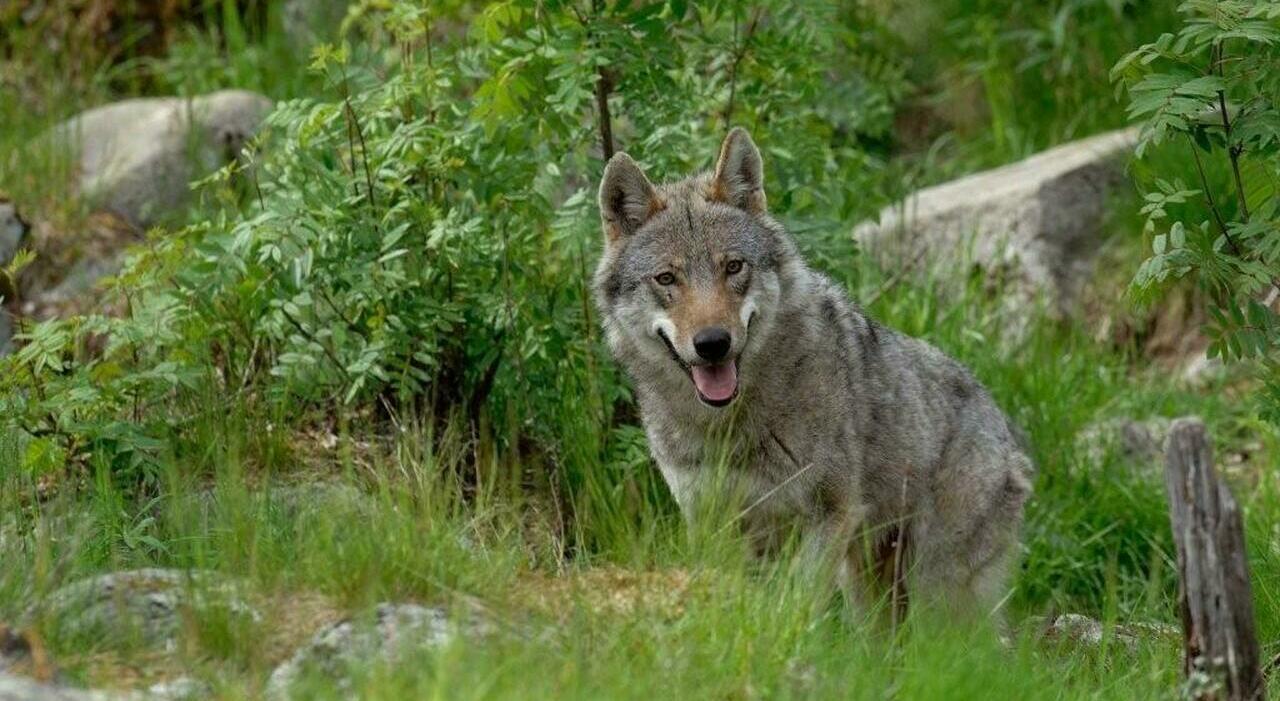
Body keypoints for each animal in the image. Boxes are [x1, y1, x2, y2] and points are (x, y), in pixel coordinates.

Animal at [592, 128, 1033, 620]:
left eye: (733, 267)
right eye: (667, 278)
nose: (713, 343)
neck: (729, 427)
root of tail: (1003, 424)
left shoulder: (830, 514)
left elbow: (794, 606)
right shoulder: (711, 525)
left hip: (935, 593)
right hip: (870, 589)